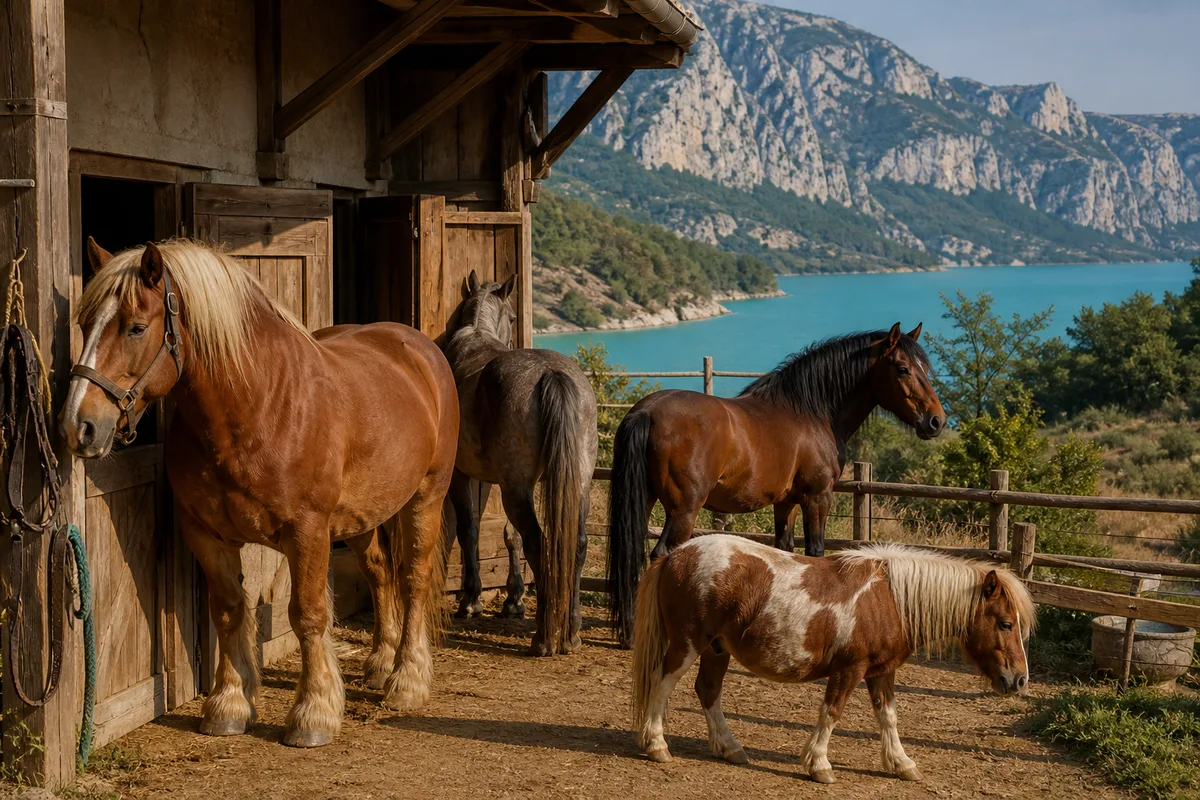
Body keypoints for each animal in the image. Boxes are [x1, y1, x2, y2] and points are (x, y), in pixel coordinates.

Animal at [60, 239, 460, 747]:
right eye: (84, 324)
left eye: (135, 327)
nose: (78, 426)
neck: (259, 405)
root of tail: (418, 348)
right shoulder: (206, 533)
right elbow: (230, 611)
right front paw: (228, 705)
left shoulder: (308, 532)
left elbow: (308, 615)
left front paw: (313, 713)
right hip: (362, 515)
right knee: (379, 572)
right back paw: (379, 664)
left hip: (425, 498)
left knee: (412, 577)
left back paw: (406, 680)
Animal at [442, 270, 598, 656]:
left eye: (512, 318)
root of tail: (552, 374)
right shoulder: (501, 481)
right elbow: (508, 534)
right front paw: (513, 599)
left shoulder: (464, 476)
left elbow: (469, 530)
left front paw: (471, 600)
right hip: (575, 485)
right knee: (575, 543)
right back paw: (571, 631)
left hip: (516, 490)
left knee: (539, 544)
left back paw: (544, 637)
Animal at [607, 324, 945, 646]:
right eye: (903, 369)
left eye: (924, 369)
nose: (936, 421)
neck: (811, 413)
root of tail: (647, 411)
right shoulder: (817, 498)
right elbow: (815, 553)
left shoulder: (787, 503)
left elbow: (786, 552)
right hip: (684, 510)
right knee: (662, 554)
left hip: (645, 500)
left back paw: (630, 631)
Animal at [631, 535, 1034, 783]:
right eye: (1005, 623)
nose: (1019, 679)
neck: (889, 600)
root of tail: (674, 555)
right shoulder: (849, 669)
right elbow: (832, 712)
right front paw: (819, 765)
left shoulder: (881, 672)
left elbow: (888, 717)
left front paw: (901, 763)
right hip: (687, 645)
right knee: (662, 684)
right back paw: (657, 746)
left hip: (717, 649)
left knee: (708, 691)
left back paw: (730, 748)